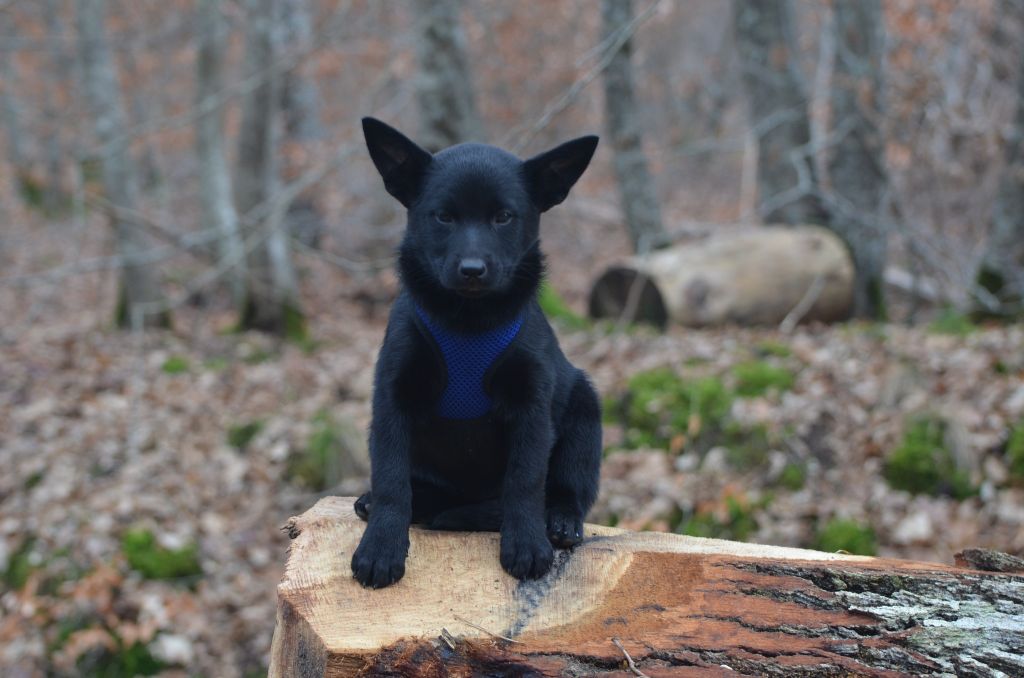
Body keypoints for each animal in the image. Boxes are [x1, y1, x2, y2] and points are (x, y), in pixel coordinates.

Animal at [352, 119, 598, 594]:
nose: (472, 270)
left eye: (503, 217)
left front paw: (526, 544)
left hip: (585, 407)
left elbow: (525, 480)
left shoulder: (532, 404)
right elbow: (391, 479)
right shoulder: (392, 395)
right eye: (444, 216)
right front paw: (381, 547)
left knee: (568, 488)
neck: (468, 322)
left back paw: (560, 520)